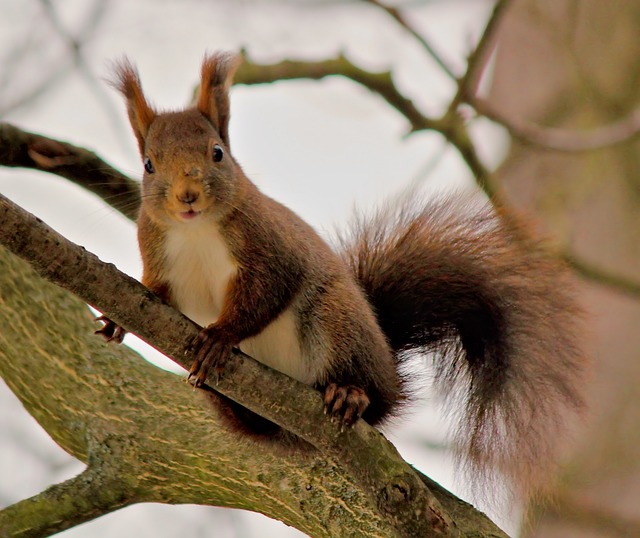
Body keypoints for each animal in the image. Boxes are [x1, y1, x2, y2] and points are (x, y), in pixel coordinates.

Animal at [97, 51, 588, 494]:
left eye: (217, 153)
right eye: (149, 165)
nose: (187, 196)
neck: (195, 230)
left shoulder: (270, 248)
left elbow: (266, 292)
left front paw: (221, 336)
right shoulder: (158, 255)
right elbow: (155, 291)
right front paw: (117, 320)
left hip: (337, 320)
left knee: (370, 396)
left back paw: (350, 393)